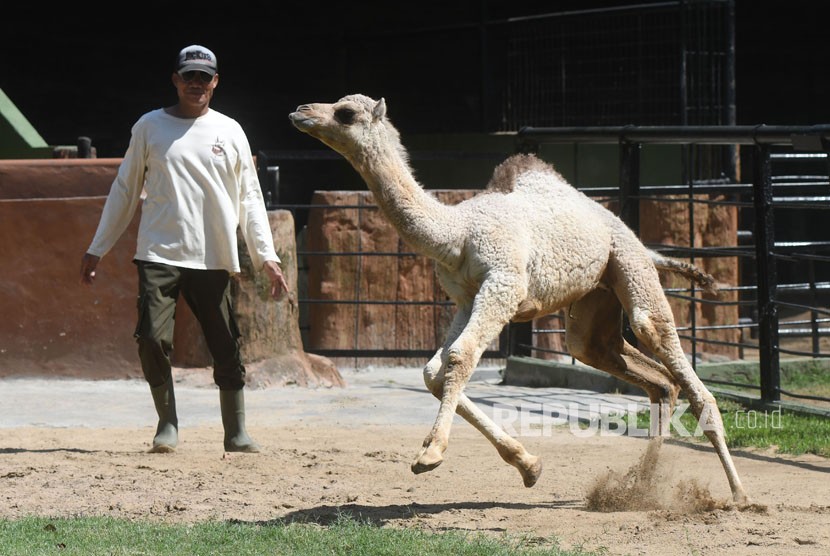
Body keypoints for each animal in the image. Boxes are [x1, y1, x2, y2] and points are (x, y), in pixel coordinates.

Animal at [290, 94, 752, 504]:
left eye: (345, 113)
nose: (300, 111)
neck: (456, 233)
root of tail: (636, 238)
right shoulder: (466, 297)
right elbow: (435, 371)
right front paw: (529, 466)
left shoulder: (503, 284)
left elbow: (460, 356)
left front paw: (430, 454)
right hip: (595, 300)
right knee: (643, 374)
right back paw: (636, 488)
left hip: (628, 263)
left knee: (661, 342)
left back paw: (739, 494)